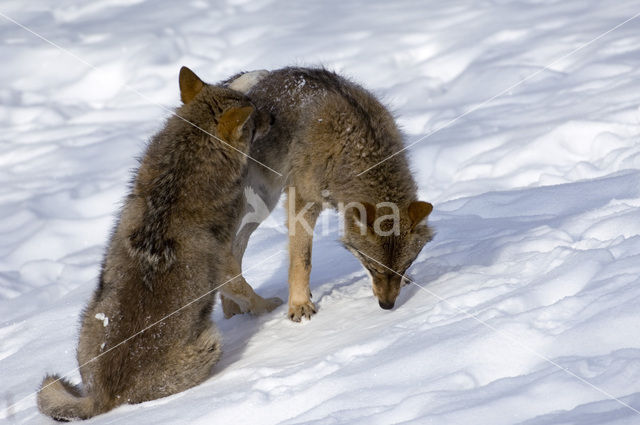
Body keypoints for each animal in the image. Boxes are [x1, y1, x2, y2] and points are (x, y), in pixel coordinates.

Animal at [38, 67, 280, 420]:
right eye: (255, 115)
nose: (274, 118)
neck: (177, 173)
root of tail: (101, 398)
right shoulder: (223, 262)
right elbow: (246, 291)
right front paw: (269, 309)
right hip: (210, 342)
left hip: (87, 317)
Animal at [225, 68, 436, 322]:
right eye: (372, 267)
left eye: (404, 267)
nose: (387, 306)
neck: (353, 145)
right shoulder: (303, 202)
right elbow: (302, 260)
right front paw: (300, 306)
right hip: (259, 204)